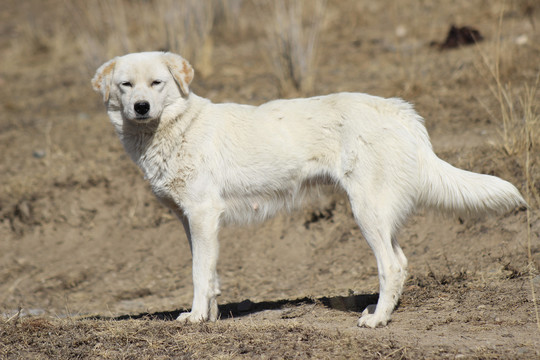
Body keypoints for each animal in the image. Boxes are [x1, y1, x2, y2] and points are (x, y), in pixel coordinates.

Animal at [90, 52, 524, 328]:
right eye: (126, 85)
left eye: (156, 83)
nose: (141, 107)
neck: (176, 127)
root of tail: (400, 110)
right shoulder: (192, 221)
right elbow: (208, 274)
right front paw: (209, 317)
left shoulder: (202, 214)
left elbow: (199, 275)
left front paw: (196, 319)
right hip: (382, 214)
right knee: (401, 263)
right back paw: (381, 312)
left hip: (366, 212)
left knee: (392, 265)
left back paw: (377, 321)